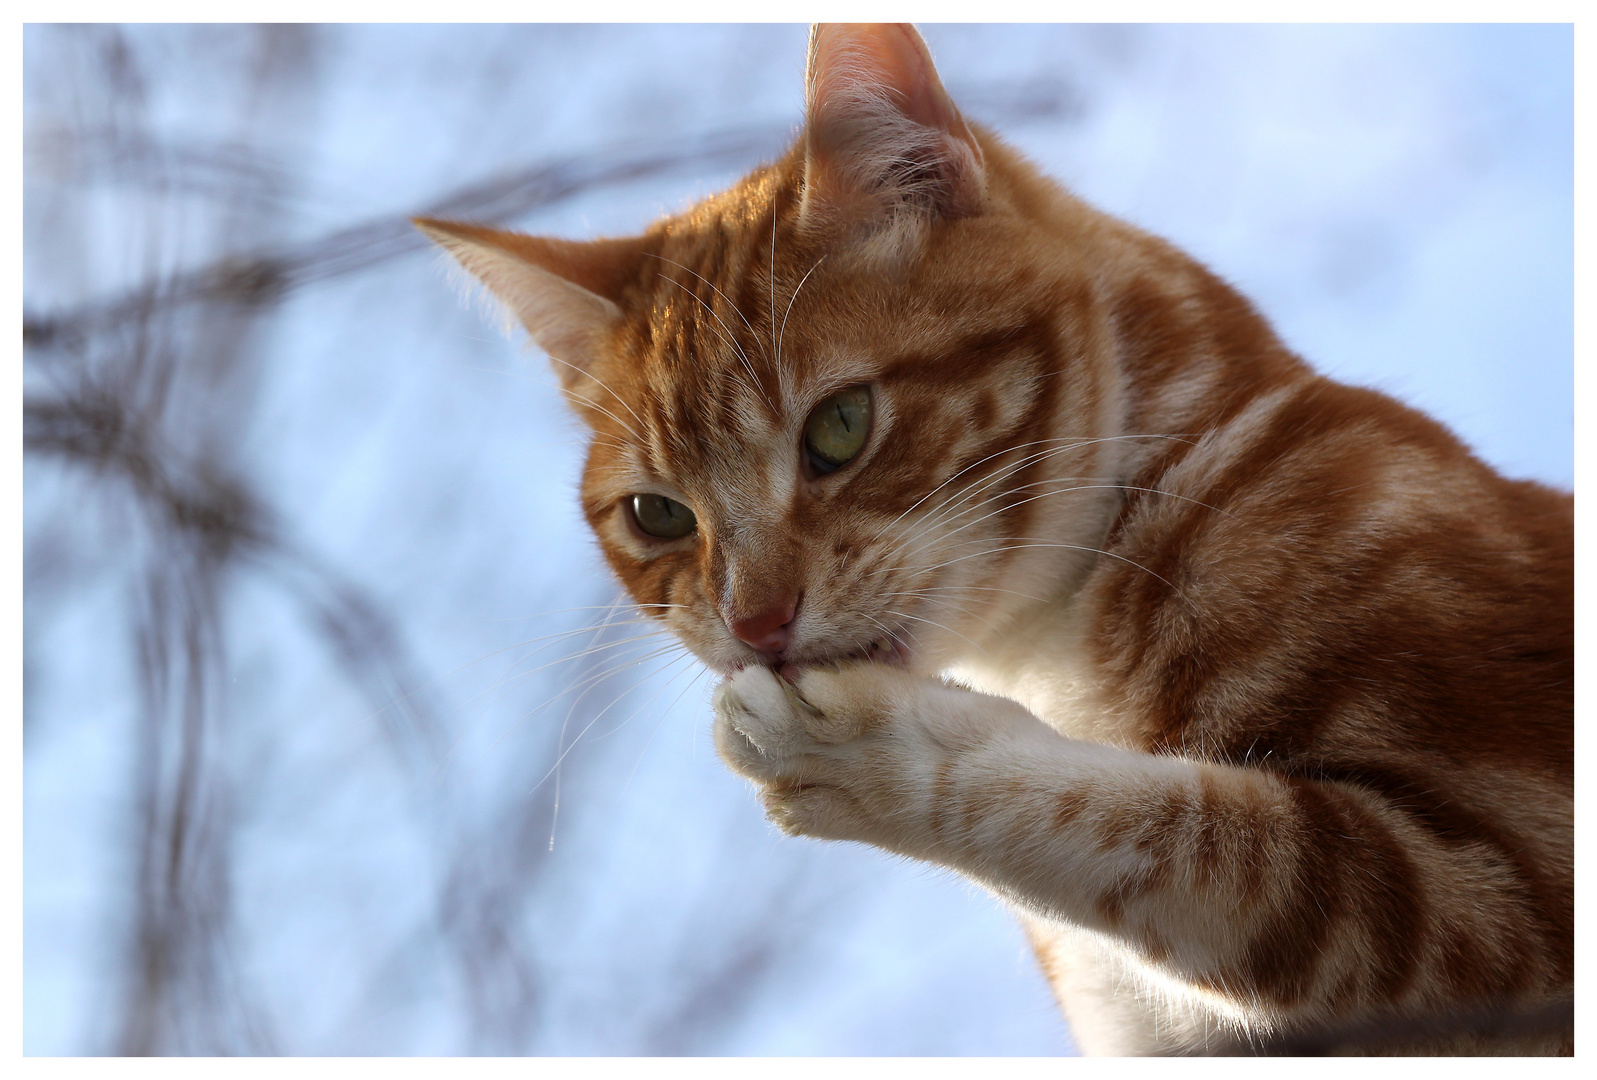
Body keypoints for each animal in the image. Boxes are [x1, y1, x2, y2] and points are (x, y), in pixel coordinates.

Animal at [415, 23, 1571, 1054]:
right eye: (659, 514)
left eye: (840, 427)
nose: (755, 622)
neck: (1055, 659)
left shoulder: (1507, 893)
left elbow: (1205, 841)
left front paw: (877, 755)